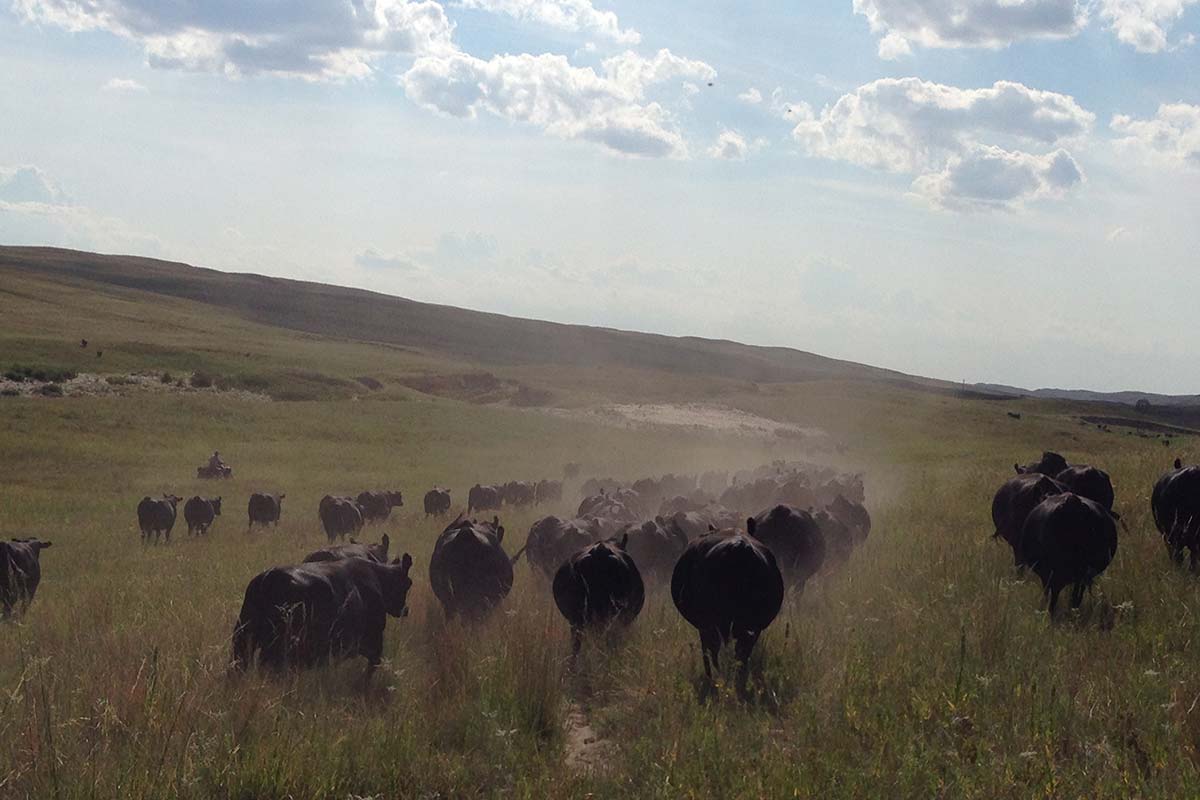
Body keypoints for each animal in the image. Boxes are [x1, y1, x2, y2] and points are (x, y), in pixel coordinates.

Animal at [231, 554, 414, 677]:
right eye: (408, 583)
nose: (405, 610)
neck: (377, 578)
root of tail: (268, 576)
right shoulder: (371, 639)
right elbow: (372, 665)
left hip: (242, 640)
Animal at [670, 526, 785, 694]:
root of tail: (739, 547)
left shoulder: (704, 626)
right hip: (750, 627)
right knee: (740, 654)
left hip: (717, 623)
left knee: (717, 651)